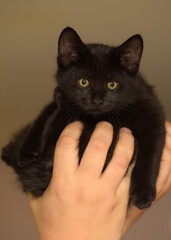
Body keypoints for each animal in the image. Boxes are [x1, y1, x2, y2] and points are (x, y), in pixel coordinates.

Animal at [0, 27, 165, 209]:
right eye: (83, 82)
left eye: (112, 85)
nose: (97, 101)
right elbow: (43, 114)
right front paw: (26, 151)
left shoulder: (152, 114)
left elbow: (151, 153)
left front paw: (143, 193)